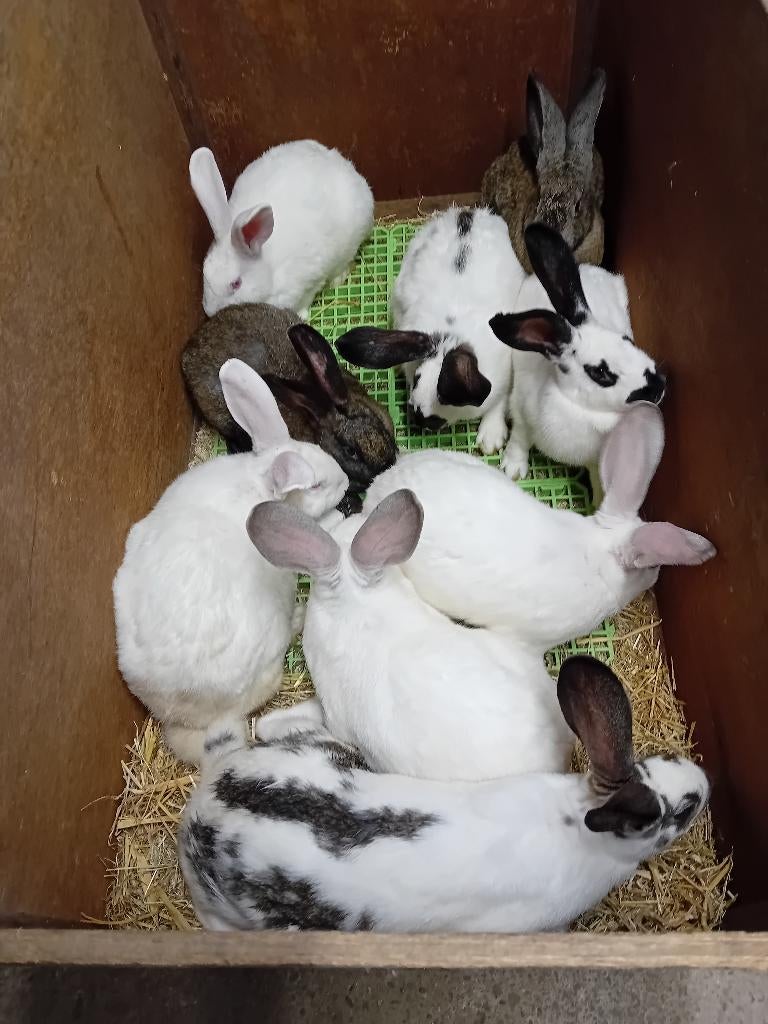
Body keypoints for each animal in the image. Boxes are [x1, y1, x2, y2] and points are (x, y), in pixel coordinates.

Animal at [179, 654, 710, 933]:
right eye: (684, 810)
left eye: (661, 761)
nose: (703, 783)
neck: (581, 823)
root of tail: (214, 791)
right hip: (230, 911)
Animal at [189, 141, 374, 318]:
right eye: (205, 274)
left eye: (236, 284)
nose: (210, 312)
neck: (269, 270)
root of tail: (340, 161)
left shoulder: (309, 281)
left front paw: (302, 314)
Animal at [336, 206, 526, 455]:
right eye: (418, 378)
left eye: (448, 397)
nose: (419, 418)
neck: (451, 337)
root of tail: (468, 214)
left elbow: (498, 403)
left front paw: (490, 440)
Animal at [489, 223, 666, 488]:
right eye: (600, 372)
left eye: (628, 340)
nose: (660, 385)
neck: (579, 407)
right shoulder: (522, 414)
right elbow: (519, 440)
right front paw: (513, 469)